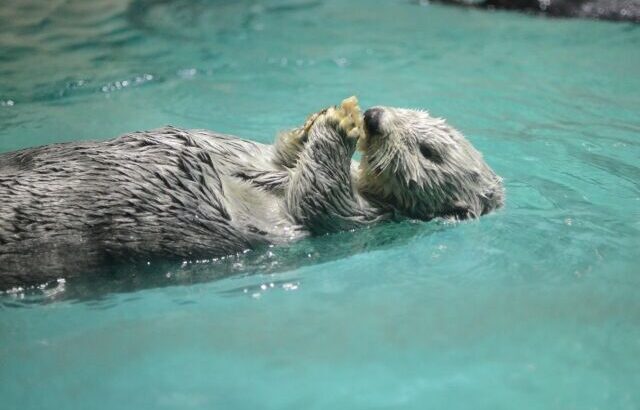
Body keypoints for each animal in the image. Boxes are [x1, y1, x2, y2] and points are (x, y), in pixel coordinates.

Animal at [0, 97, 502, 288]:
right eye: (407, 111)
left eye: (428, 151)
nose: (375, 117)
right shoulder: (274, 166)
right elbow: (278, 159)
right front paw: (313, 122)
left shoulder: (361, 219)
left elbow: (318, 198)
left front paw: (338, 125)